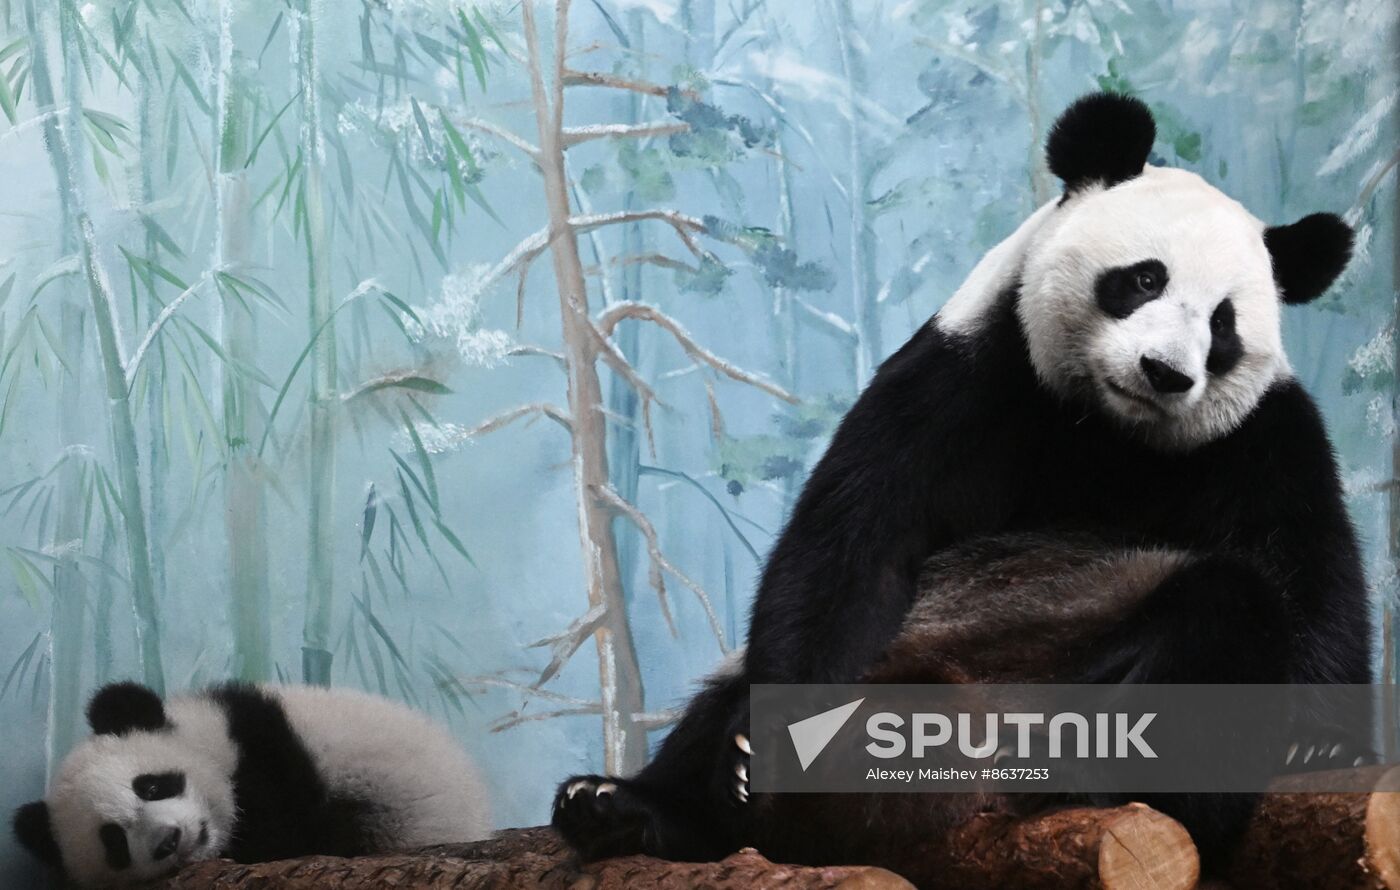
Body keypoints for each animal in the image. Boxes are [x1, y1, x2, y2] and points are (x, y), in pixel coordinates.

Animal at [551, 92, 1372, 878]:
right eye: (1144, 279)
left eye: (1223, 324)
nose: (1166, 372)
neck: (1107, 429)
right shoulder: (964, 377)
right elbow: (850, 547)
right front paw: (771, 750)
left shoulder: (1258, 436)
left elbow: (1308, 571)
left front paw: (1321, 746)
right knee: (718, 706)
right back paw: (631, 805)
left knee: (1227, 618)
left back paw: (1087, 775)